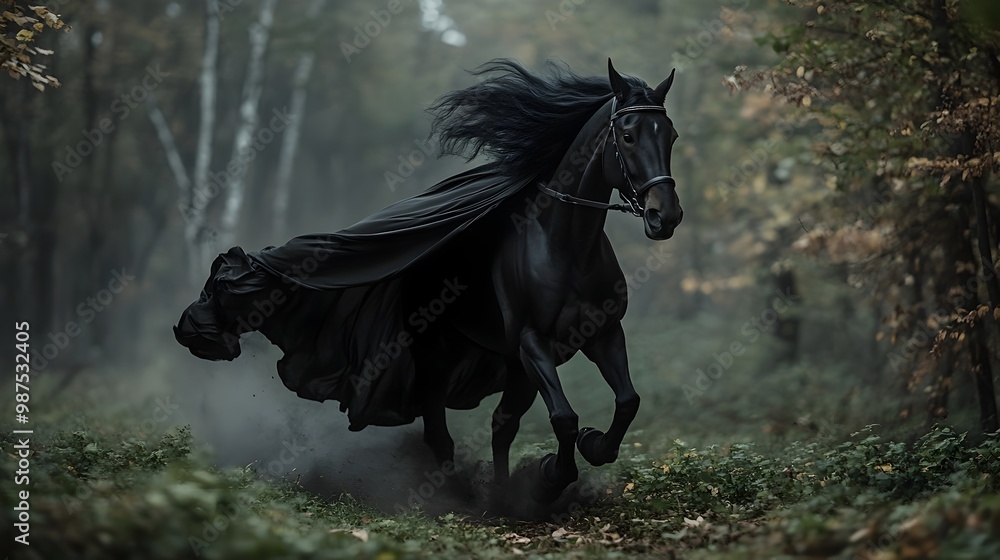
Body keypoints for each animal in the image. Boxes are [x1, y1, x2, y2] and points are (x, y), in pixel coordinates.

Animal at [174, 58, 682, 504]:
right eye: (628, 135)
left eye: (671, 134)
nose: (666, 216)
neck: (564, 244)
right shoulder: (532, 341)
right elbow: (564, 417)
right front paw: (552, 476)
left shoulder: (601, 333)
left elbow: (627, 401)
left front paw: (590, 449)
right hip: (438, 358)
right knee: (442, 433)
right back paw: (459, 495)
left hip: (503, 364)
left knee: (501, 424)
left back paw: (501, 495)